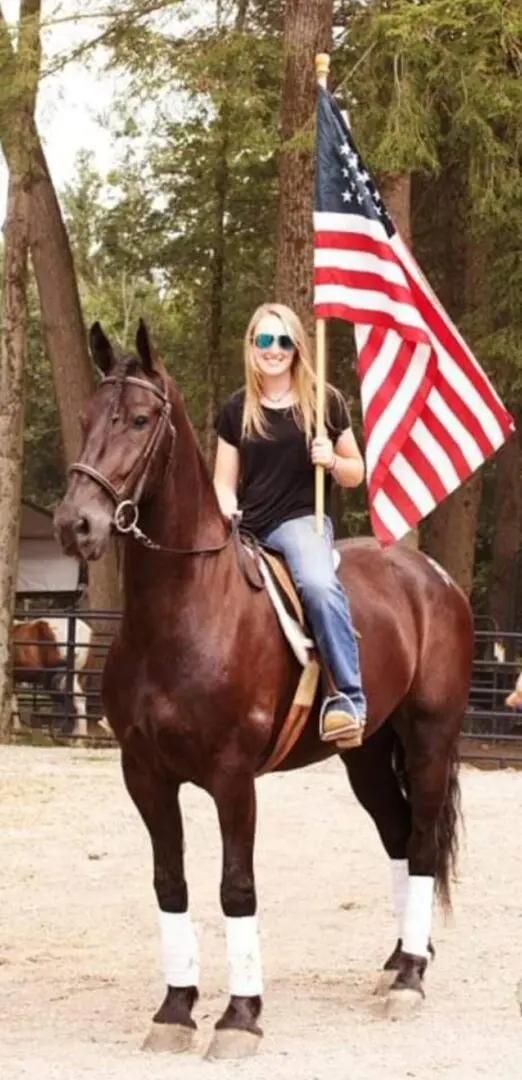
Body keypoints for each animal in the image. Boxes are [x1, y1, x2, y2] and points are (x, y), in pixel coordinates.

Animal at [55, 321, 475, 1062]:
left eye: (139, 420)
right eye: (85, 420)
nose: (76, 524)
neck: (183, 611)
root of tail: (433, 577)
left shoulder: (232, 778)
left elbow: (237, 888)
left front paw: (239, 1016)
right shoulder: (145, 775)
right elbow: (170, 883)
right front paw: (175, 1008)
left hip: (429, 741)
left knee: (423, 843)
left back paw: (410, 978)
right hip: (367, 755)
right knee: (398, 838)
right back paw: (400, 958)